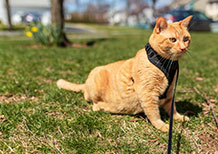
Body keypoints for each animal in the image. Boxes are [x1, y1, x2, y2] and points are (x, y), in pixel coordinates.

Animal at [56, 15, 192, 131]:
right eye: (172, 39)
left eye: (186, 39)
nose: (183, 48)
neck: (165, 63)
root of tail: (85, 83)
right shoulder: (148, 94)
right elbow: (154, 113)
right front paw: (161, 125)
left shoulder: (170, 93)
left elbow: (172, 109)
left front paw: (178, 117)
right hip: (97, 79)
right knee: (91, 100)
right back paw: (101, 106)